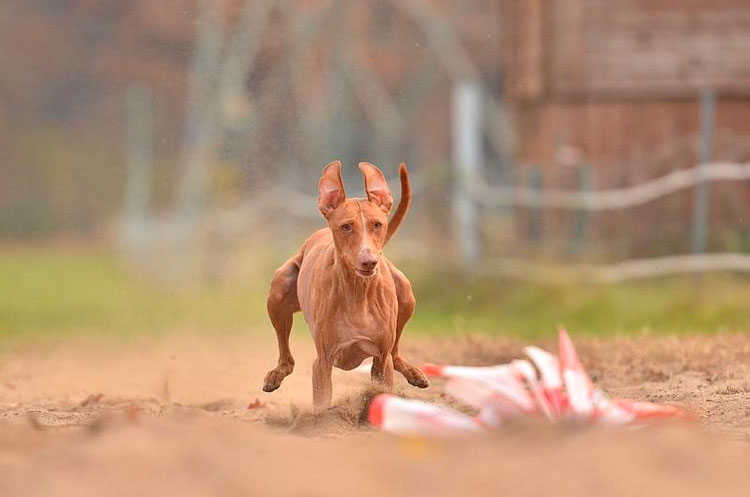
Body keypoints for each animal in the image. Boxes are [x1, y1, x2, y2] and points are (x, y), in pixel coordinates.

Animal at [262, 161, 428, 408]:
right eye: (346, 227)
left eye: (377, 224)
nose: (369, 261)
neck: (358, 292)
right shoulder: (322, 364)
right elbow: (322, 406)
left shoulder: (380, 362)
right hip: (279, 286)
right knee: (287, 359)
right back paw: (276, 373)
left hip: (405, 292)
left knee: (395, 354)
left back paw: (411, 370)